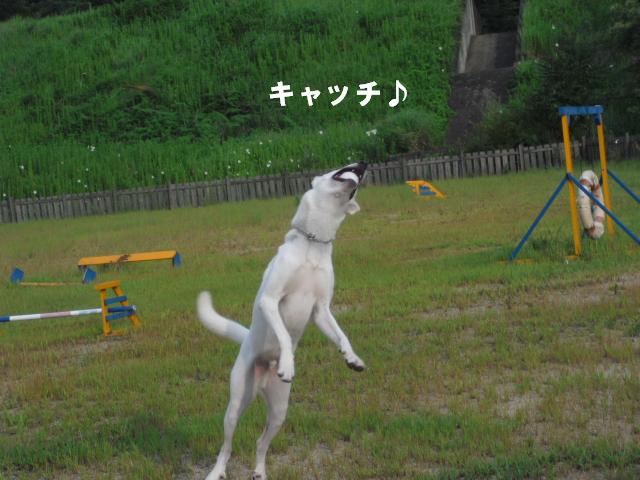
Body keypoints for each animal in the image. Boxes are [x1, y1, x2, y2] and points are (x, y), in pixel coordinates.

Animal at [197, 162, 368, 479]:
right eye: (343, 167)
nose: (363, 165)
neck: (314, 243)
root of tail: (263, 372)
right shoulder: (271, 300)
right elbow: (285, 336)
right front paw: (288, 364)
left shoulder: (321, 310)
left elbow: (341, 335)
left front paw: (352, 358)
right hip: (236, 404)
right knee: (226, 446)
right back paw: (216, 472)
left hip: (279, 411)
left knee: (260, 442)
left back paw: (260, 472)